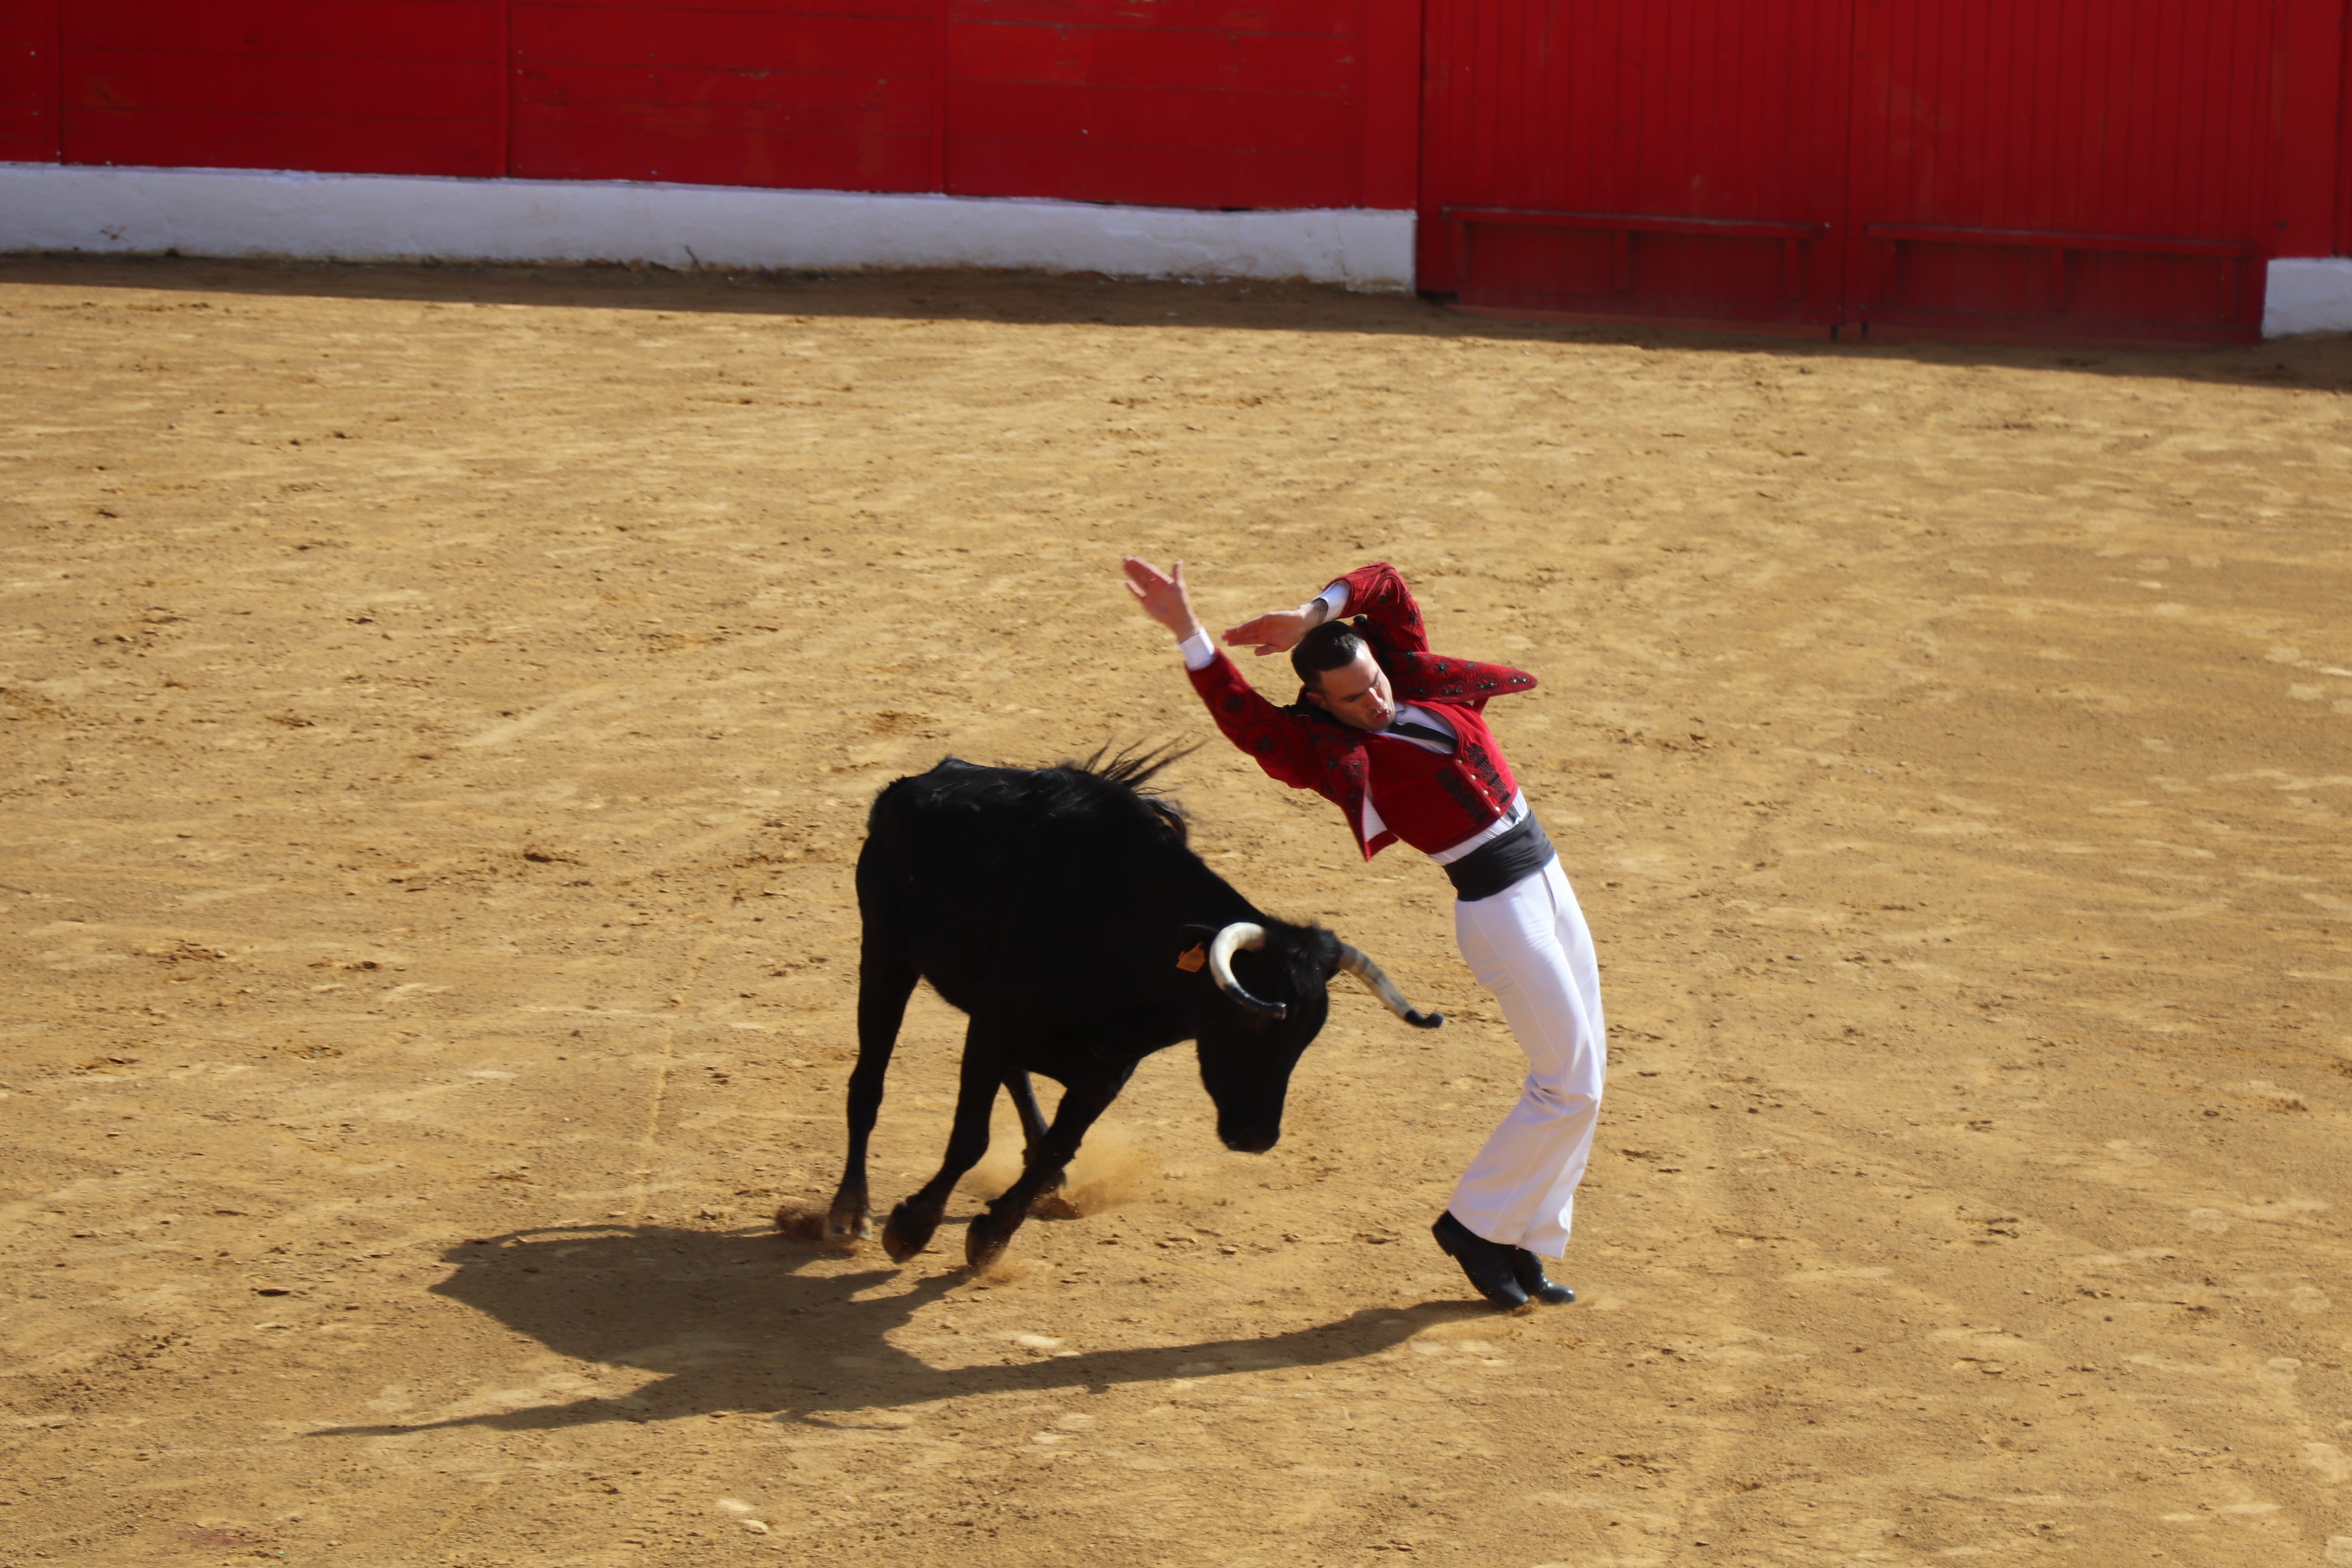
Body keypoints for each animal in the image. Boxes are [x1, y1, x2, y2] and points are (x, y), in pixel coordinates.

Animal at [828, 752, 1449, 1279]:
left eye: (1307, 1036)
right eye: (1250, 1018)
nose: (1257, 1137)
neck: (1125, 925)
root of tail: (910, 785)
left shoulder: (1104, 1067)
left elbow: (1057, 1145)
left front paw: (991, 1235)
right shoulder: (997, 1026)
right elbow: (969, 1138)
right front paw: (911, 1228)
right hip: (886, 952)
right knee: (868, 1083)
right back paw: (849, 1215)